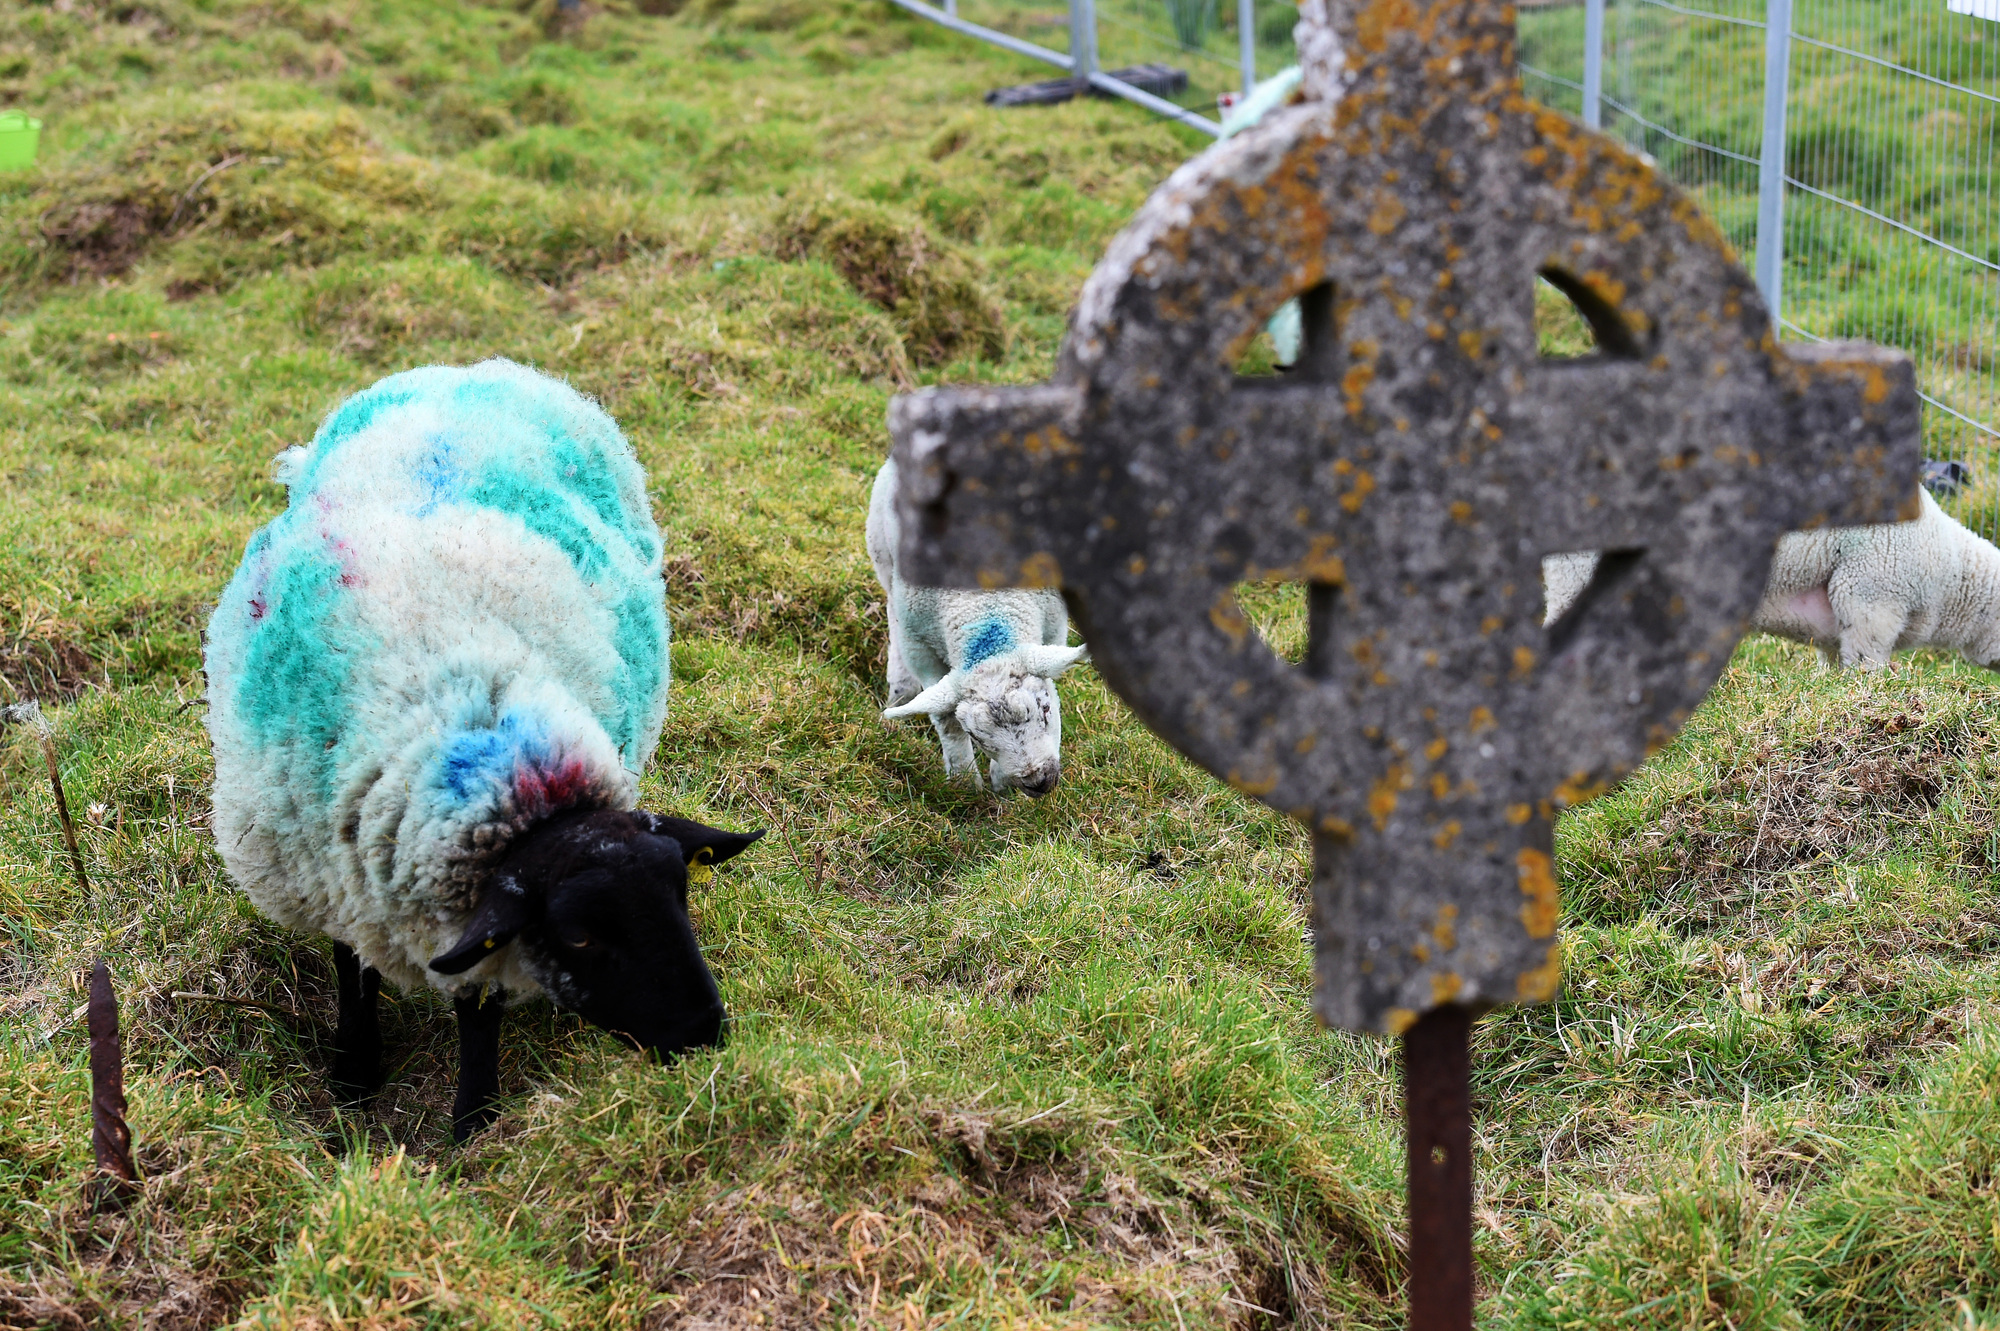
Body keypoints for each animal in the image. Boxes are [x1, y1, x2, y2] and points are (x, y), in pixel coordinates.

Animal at [204, 359, 762, 1140]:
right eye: (580, 936)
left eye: (682, 893)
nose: (704, 1031)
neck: (493, 746)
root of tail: (474, 367)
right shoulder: (332, 870)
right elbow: (352, 969)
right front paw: (354, 1075)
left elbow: (479, 1004)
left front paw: (473, 1121)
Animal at [866, 455, 1088, 795]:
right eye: (977, 737)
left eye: (1046, 709)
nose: (1038, 783)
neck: (983, 607)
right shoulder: (921, 647)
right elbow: (945, 719)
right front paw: (963, 781)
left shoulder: (1053, 625)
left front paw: (1000, 783)